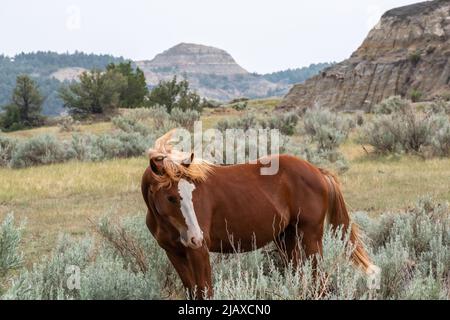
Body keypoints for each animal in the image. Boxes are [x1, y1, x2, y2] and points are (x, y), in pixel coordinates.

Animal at [142, 129, 380, 298]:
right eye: (171, 197)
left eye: (195, 193)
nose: (195, 237)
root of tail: (317, 171)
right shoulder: (174, 253)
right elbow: (192, 290)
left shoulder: (198, 252)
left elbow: (205, 290)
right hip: (287, 237)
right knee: (298, 275)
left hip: (310, 235)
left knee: (317, 276)